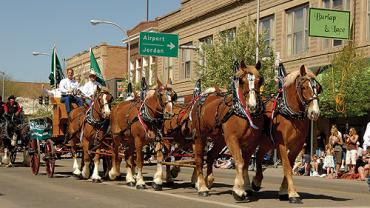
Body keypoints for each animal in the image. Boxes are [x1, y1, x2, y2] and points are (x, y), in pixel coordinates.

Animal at [189, 61, 264, 201]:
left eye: (260, 80)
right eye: (242, 80)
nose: (253, 106)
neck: (242, 112)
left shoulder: (251, 142)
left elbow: (246, 163)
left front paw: (247, 187)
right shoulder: (232, 139)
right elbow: (239, 162)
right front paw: (238, 190)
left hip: (219, 139)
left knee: (211, 155)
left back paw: (209, 180)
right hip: (200, 136)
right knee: (199, 159)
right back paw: (202, 186)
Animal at [251, 65, 320, 203]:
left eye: (319, 89)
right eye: (304, 87)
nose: (315, 112)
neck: (290, 114)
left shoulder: (297, 146)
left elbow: (290, 166)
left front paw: (283, 191)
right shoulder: (281, 144)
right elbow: (287, 167)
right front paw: (293, 193)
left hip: (267, 143)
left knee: (259, 156)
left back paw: (256, 181)